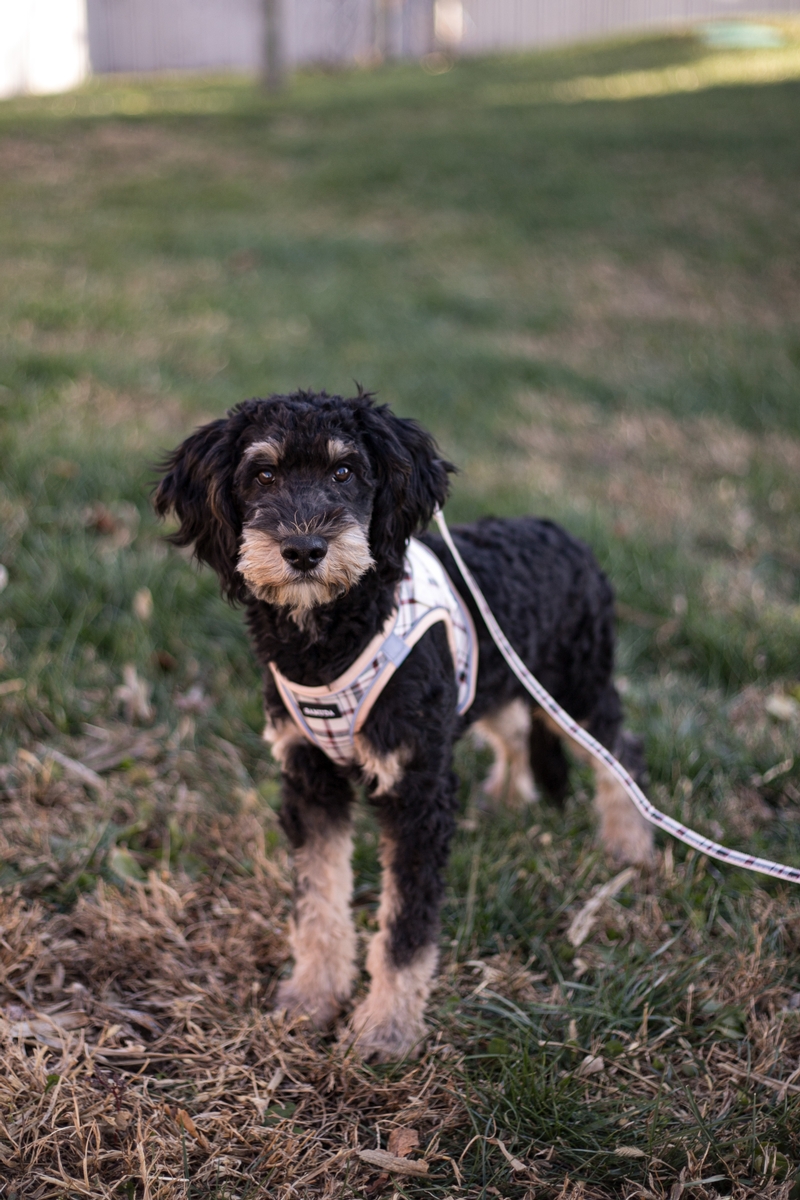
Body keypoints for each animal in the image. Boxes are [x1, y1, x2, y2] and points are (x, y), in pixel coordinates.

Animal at [155, 389, 652, 1060]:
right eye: (262, 474)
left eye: (345, 471)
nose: (304, 551)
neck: (331, 639)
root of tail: (568, 536)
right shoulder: (309, 776)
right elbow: (318, 902)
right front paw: (312, 997)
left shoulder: (417, 787)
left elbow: (405, 929)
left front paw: (385, 1029)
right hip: (497, 682)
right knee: (515, 730)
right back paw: (509, 796)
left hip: (576, 687)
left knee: (620, 748)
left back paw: (630, 843)